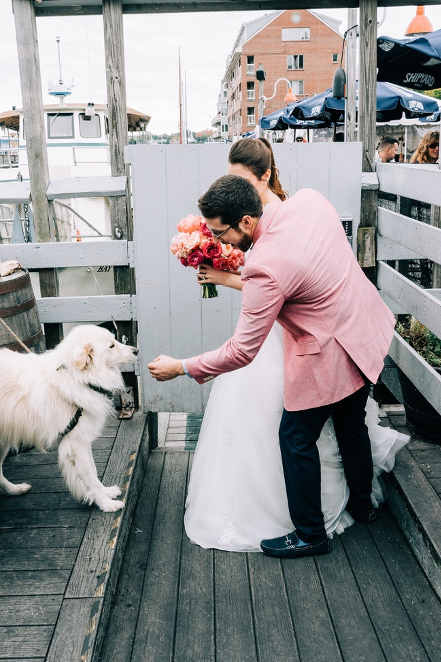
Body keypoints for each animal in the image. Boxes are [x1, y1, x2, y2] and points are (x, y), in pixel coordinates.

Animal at [0, 326, 138, 512]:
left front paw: (106, 492)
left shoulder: (83, 439)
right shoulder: (76, 445)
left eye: (115, 340)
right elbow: (90, 478)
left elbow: (94, 471)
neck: (78, 378)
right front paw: (106, 503)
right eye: (111, 346)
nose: (136, 351)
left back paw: (15, 489)